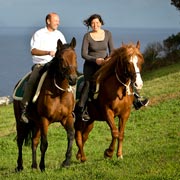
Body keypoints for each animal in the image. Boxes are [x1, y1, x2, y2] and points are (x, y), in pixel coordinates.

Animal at [12, 37, 77, 171]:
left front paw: (66, 162)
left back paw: (34, 166)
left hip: (35, 123)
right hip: (21, 122)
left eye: (75, 57)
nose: (73, 79)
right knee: (20, 141)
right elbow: (44, 144)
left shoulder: (66, 118)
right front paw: (43, 166)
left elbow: (71, 136)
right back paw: (20, 166)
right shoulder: (44, 120)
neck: (58, 93)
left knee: (34, 142)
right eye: (61, 58)